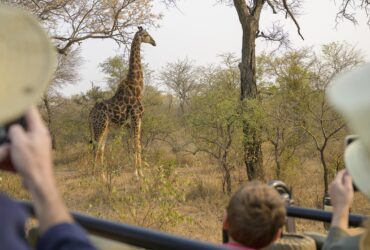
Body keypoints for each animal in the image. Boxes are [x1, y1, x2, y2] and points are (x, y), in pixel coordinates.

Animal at [89, 26, 155, 178]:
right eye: (146, 35)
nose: (154, 42)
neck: (137, 87)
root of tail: (90, 114)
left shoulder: (139, 119)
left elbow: (138, 144)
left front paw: (141, 173)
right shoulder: (135, 117)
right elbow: (136, 144)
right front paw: (136, 174)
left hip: (106, 127)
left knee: (101, 148)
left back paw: (102, 176)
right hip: (100, 126)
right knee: (96, 147)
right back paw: (94, 175)